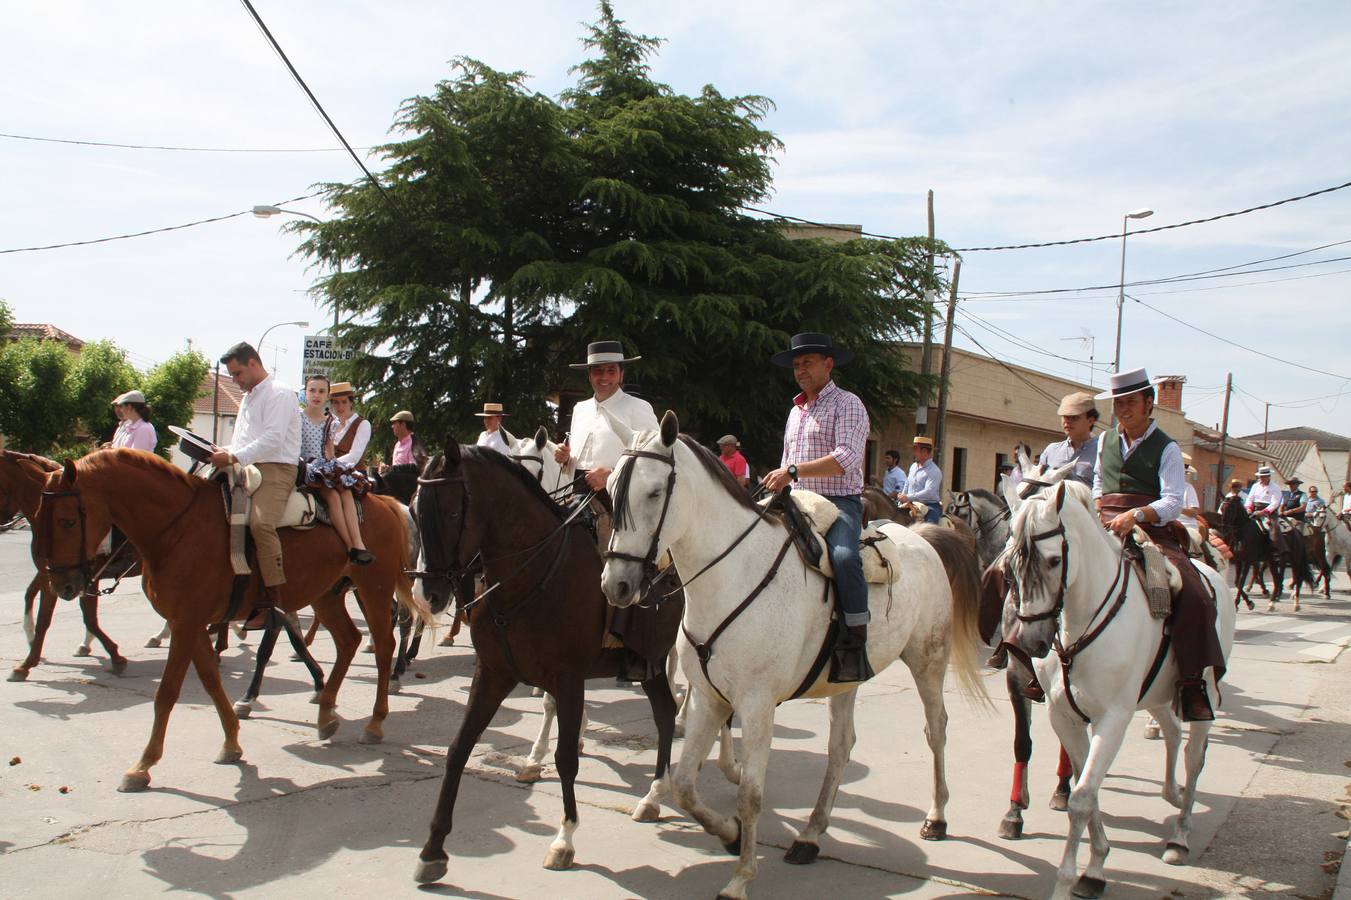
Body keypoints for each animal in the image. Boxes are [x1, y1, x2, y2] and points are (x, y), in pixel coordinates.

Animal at [0, 448, 131, 681]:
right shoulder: (52, 573)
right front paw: (29, 654)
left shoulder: (87, 574)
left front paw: (115, 656)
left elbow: (89, 616)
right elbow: (36, 604)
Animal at [32, 445, 426, 783]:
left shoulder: (187, 622)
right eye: (38, 518)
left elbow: (168, 692)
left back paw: (374, 722)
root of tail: (384, 502)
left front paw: (143, 764)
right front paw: (232, 742)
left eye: (67, 522)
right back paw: (326, 712)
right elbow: (210, 679)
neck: (177, 528)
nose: (62, 584)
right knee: (349, 640)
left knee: (383, 645)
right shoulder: (189, 621)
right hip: (326, 595)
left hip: (373, 589)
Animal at [408, 445, 686, 881]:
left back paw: (663, 793)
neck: (529, 577)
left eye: (452, 513)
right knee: (665, 713)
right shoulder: (492, 674)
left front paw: (564, 839)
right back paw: (655, 796)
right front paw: (433, 850)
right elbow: (458, 749)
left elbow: (566, 759)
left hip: (669, 657)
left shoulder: (569, 678)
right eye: (415, 511)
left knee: (680, 713)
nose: (427, 594)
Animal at [602, 413, 983, 897]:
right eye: (610, 487)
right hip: (846, 680)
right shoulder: (709, 697)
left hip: (928, 662)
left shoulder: (757, 705)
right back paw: (810, 835)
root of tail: (920, 538)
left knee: (936, 730)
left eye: (653, 492)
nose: (616, 585)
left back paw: (936, 817)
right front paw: (729, 834)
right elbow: (685, 784)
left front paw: (740, 877)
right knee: (841, 747)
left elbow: (750, 795)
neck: (733, 574)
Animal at [1005, 481, 1237, 891]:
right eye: (1010, 564)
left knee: (1194, 756)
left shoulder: (1113, 718)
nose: (1028, 642)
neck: (1082, 621)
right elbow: (1085, 785)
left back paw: (1180, 836)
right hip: (1158, 693)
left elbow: (1082, 798)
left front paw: (1073, 878)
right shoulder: (1064, 717)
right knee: (1172, 732)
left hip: (1204, 691)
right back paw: (1172, 792)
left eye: (1053, 560)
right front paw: (1097, 862)